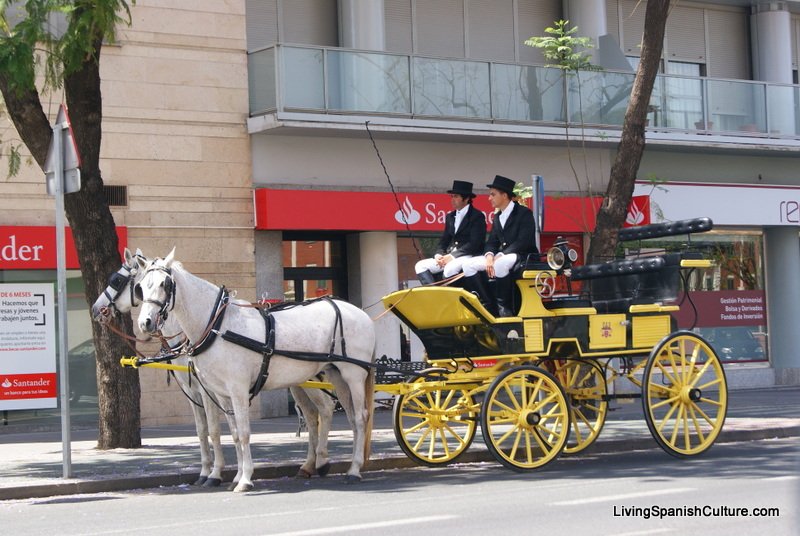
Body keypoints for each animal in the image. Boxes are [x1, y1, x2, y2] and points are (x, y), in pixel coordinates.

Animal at [134, 249, 376, 492]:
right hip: (335, 375)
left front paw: (244, 479)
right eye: (141, 286)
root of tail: (360, 314)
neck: (217, 325)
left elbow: (241, 433)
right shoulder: (220, 393)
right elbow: (229, 433)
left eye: (165, 284)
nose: (145, 323)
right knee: (340, 416)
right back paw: (326, 465)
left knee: (359, 417)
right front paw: (233, 475)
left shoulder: (236, 390)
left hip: (353, 375)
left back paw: (353, 470)